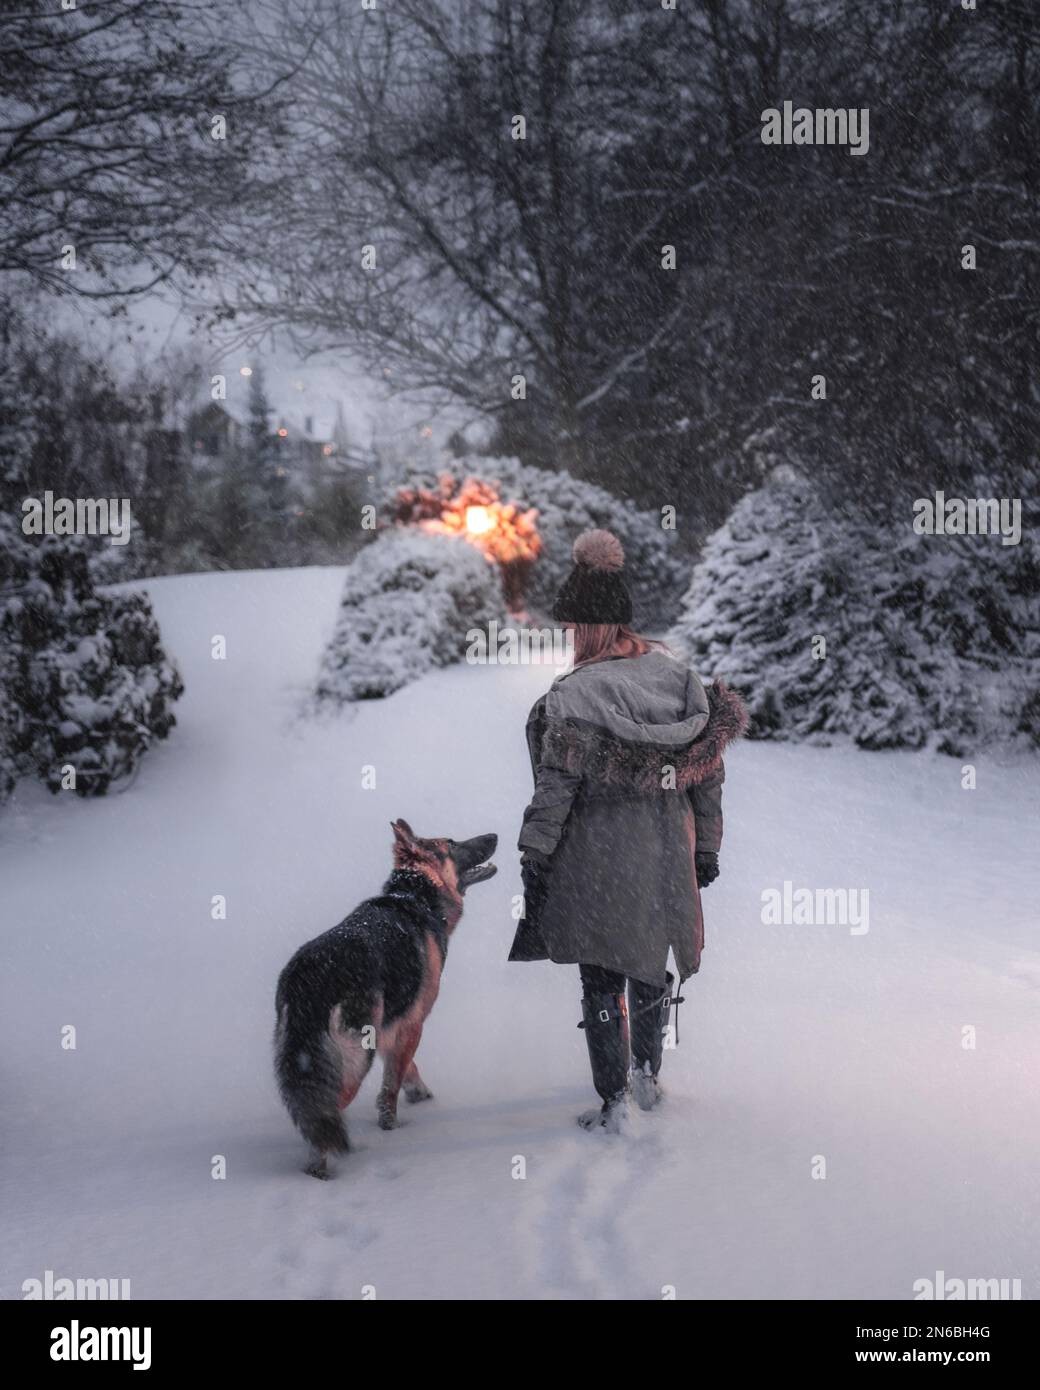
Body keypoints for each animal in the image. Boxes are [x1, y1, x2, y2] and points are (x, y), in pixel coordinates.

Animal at [269, 817, 494, 1178]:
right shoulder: (413, 1024)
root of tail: (311, 979)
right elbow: (392, 1084)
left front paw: (419, 1094)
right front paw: (392, 1126)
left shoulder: (393, 1027)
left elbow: (406, 1068)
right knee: (325, 1112)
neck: (414, 895)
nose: (495, 836)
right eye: (452, 843)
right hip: (356, 1059)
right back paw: (323, 1169)